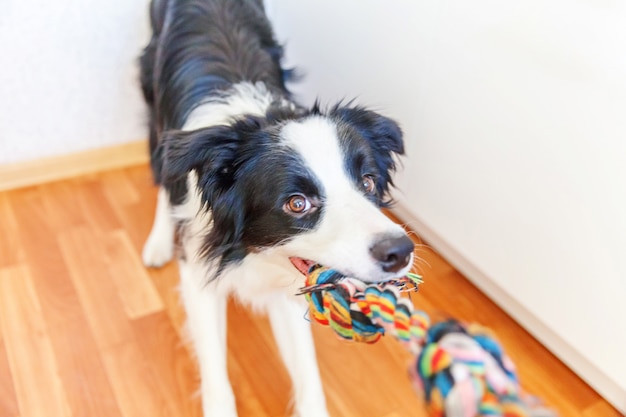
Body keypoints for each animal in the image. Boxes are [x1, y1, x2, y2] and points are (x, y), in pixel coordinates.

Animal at [138, 1, 412, 414]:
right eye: (297, 203)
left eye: (367, 182)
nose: (400, 251)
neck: (251, 253)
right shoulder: (199, 273)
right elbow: (215, 372)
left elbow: (307, 371)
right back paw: (157, 242)